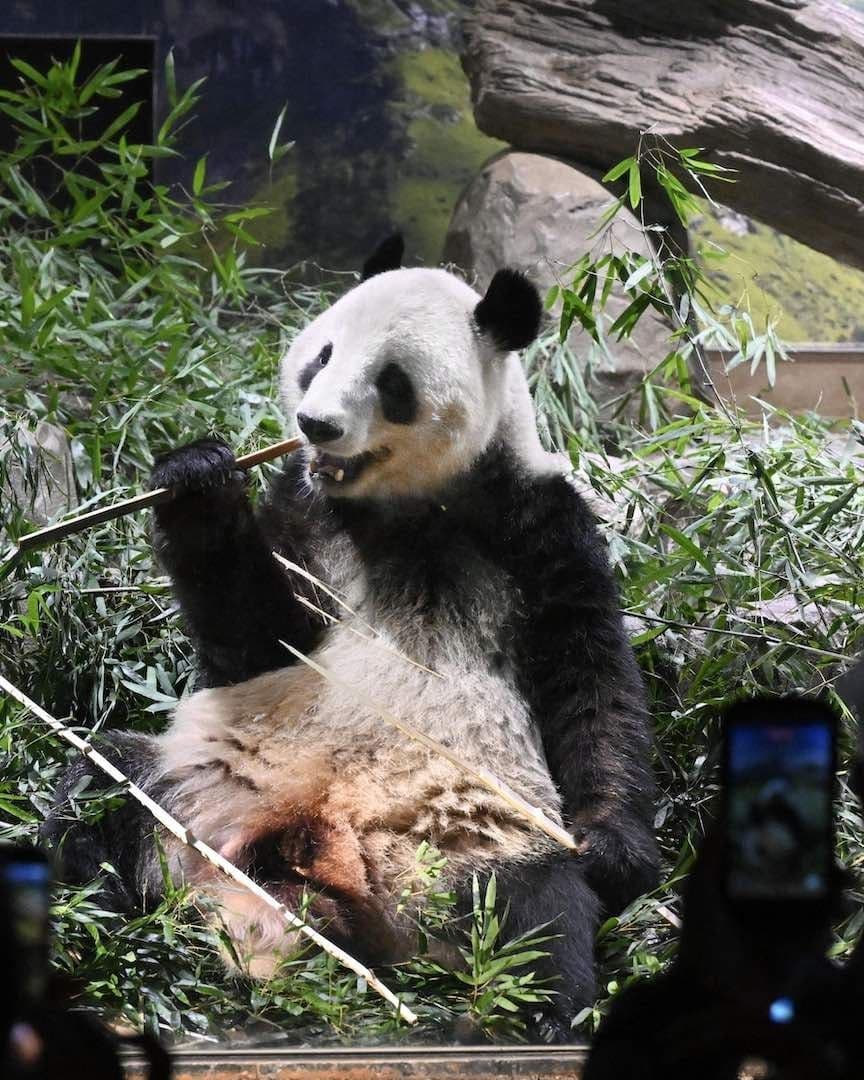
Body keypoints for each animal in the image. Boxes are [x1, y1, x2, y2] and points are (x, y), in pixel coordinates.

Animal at [44, 237, 659, 1040]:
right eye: (322, 356)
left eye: (392, 382)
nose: (316, 424)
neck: (399, 505)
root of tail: (318, 882)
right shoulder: (305, 511)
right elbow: (257, 642)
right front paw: (198, 478)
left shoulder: (538, 521)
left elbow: (590, 675)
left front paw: (616, 851)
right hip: (198, 792)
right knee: (100, 791)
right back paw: (90, 919)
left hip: (476, 850)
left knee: (538, 926)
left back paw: (529, 1020)